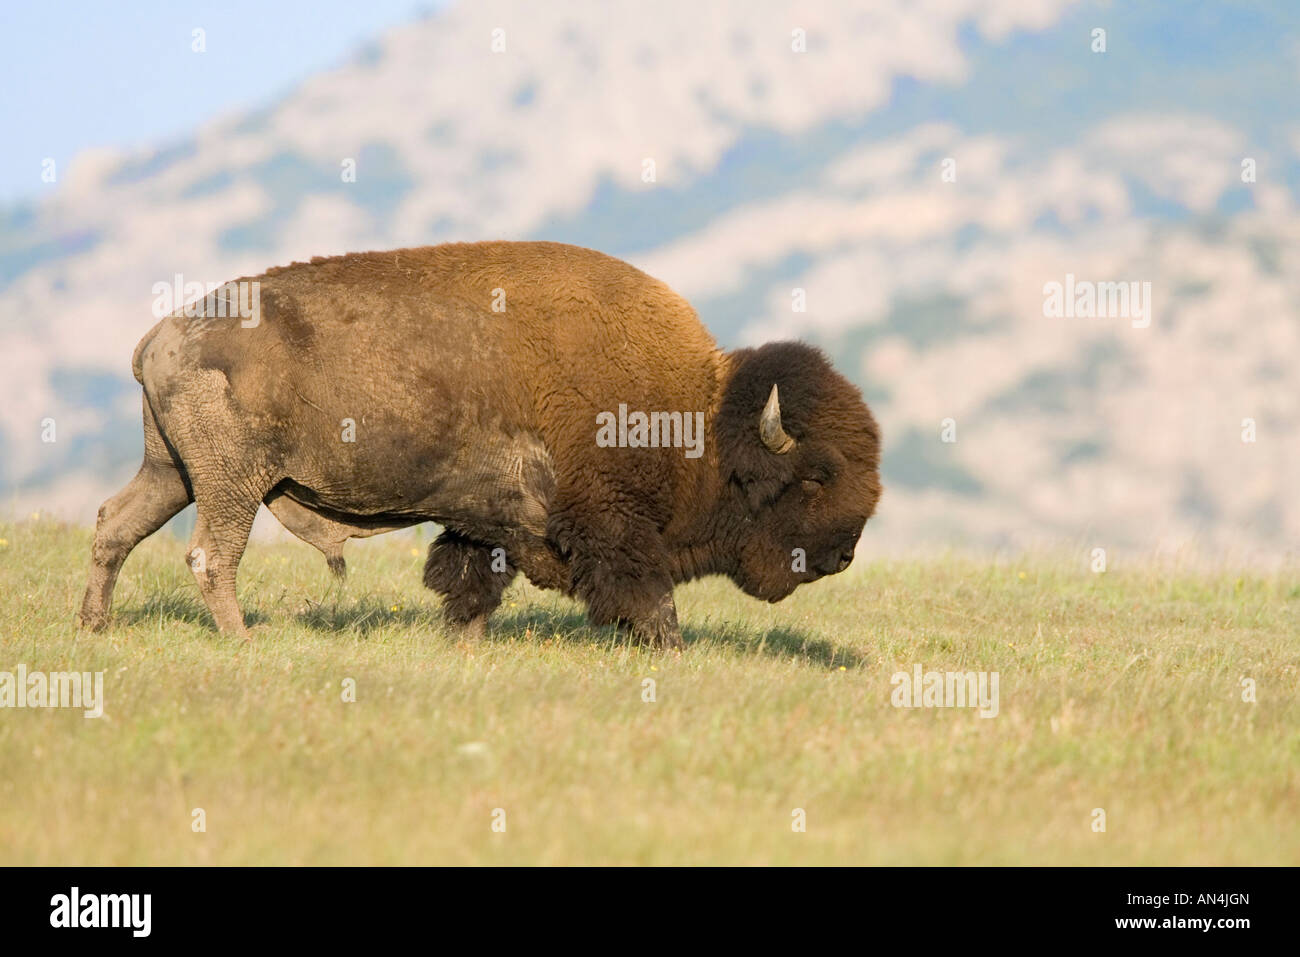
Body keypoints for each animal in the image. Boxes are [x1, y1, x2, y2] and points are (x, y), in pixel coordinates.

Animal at [79, 241, 881, 649]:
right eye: (817, 476)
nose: (844, 554)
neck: (698, 418)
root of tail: (161, 335)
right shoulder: (612, 529)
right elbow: (650, 598)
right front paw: (670, 650)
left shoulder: (483, 521)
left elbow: (468, 583)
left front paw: (463, 645)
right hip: (229, 483)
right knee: (210, 554)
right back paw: (242, 640)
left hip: (171, 471)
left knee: (115, 525)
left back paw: (94, 624)